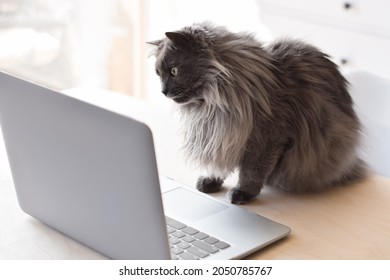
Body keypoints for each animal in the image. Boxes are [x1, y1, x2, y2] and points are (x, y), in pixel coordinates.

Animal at [148, 21, 368, 205]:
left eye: (174, 71)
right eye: (158, 74)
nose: (163, 91)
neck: (214, 105)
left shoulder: (268, 139)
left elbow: (252, 172)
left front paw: (242, 193)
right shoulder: (224, 136)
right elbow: (221, 163)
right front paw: (210, 180)